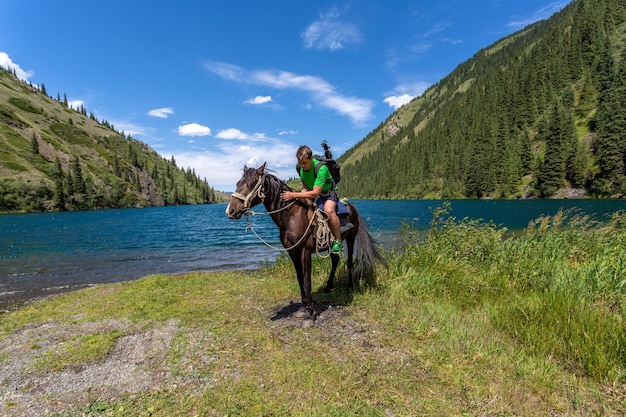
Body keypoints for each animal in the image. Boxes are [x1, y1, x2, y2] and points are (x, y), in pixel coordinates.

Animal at [224, 162, 386, 318]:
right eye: (238, 182)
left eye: (252, 183)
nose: (231, 211)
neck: (292, 216)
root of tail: (352, 207)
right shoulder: (292, 252)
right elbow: (300, 278)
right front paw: (303, 307)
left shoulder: (305, 252)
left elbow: (307, 280)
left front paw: (310, 311)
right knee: (335, 261)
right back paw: (328, 286)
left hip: (351, 238)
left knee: (350, 261)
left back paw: (350, 287)